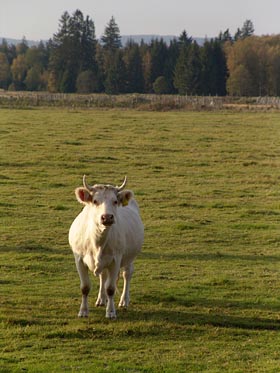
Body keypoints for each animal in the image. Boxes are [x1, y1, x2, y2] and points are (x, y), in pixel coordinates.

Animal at [68, 174, 144, 316]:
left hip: (130, 256)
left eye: (115, 201)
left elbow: (111, 288)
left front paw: (111, 312)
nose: (107, 217)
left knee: (127, 274)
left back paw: (124, 301)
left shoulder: (115, 260)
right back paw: (101, 300)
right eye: (95, 201)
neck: (97, 242)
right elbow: (85, 287)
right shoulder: (79, 259)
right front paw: (83, 311)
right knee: (103, 276)